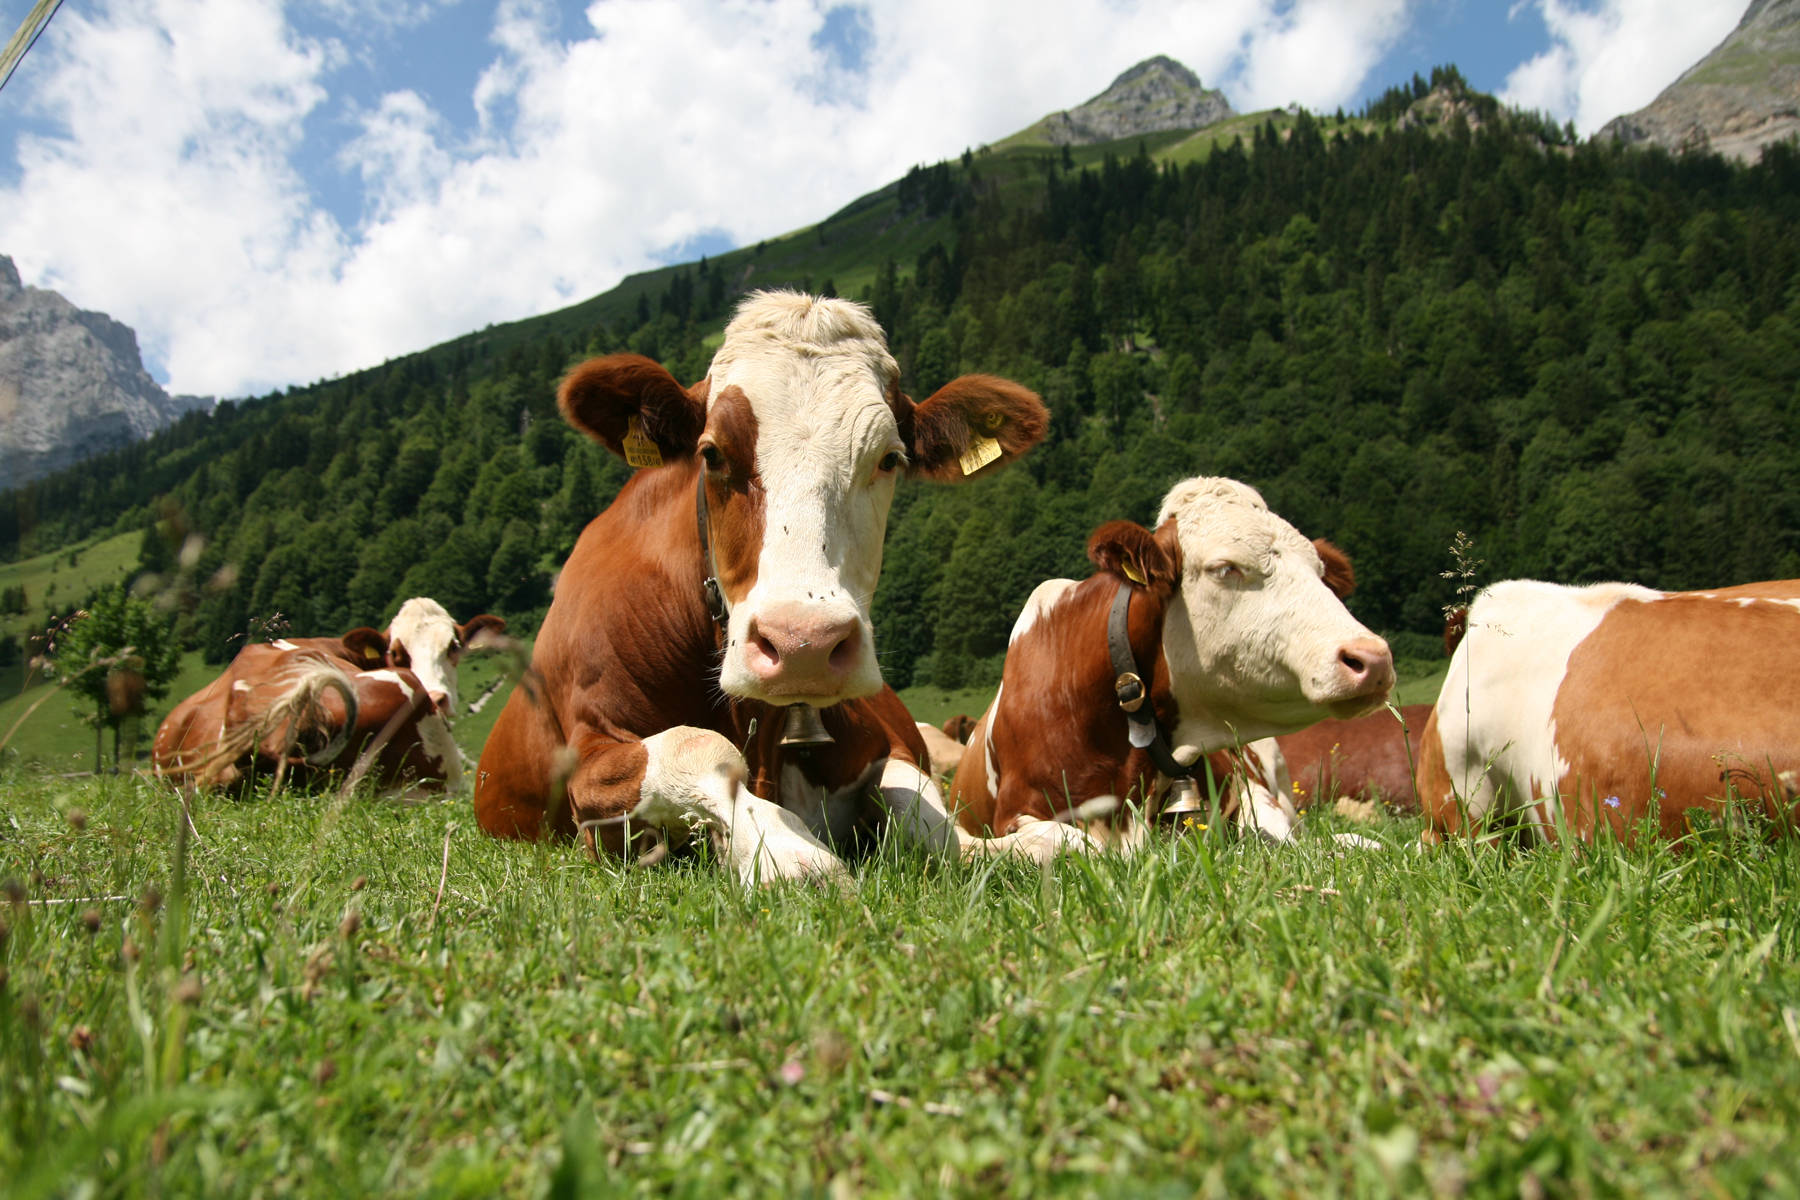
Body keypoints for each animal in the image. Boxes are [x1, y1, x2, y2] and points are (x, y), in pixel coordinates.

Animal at [471, 291, 1051, 881]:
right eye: (711, 453)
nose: (804, 645)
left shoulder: (886, 743)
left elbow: (929, 817)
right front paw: (784, 852)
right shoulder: (592, 770)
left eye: (889, 458)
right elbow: (698, 748)